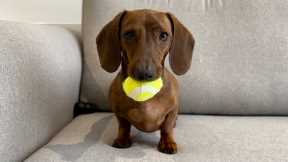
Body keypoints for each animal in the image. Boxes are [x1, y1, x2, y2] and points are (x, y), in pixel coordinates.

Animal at [96, 9, 194, 154]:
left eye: (163, 35)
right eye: (129, 34)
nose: (144, 73)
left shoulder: (172, 110)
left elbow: (167, 127)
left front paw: (168, 142)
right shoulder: (118, 112)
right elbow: (123, 126)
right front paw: (122, 139)